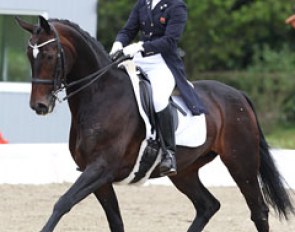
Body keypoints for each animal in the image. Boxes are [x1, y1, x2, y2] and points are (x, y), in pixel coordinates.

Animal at [15, 16, 294, 232]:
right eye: (29, 55)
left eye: (49, 55)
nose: (39, 106)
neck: (100, 95)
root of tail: (238, 94)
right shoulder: (99, 176)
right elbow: (115, 221)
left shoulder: (101, 168)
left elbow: (62, 203)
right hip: (185, 171)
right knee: (207, 205)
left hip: (240, 162)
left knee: (258, 210)